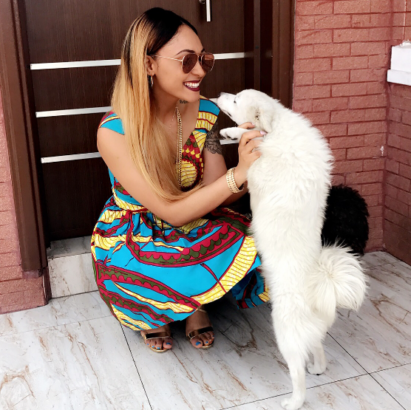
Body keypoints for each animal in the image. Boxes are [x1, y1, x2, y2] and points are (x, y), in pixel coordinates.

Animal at [215, 90, 367, 410]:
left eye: (234, 101)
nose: (220, 93)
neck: (278, 127)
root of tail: (323, 289)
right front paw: (230, 133)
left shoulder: (260, 161)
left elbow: (251, 135)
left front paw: (232, 132)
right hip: (306, 330)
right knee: (317, 345)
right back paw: (318, 367)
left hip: (285, 330)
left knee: (297, 371)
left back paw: (293, 401)